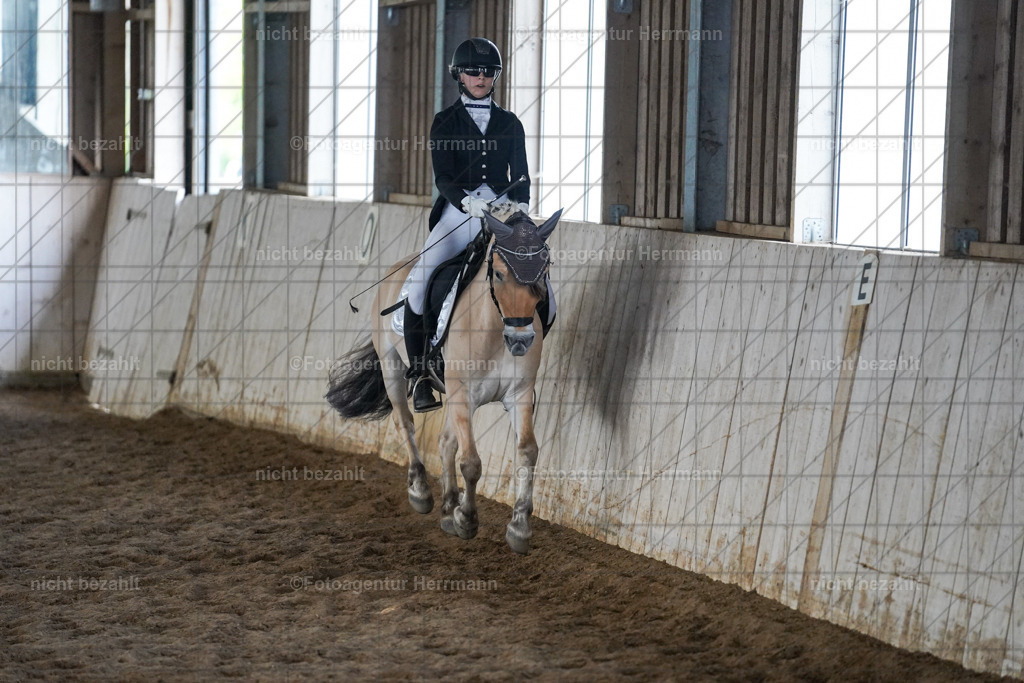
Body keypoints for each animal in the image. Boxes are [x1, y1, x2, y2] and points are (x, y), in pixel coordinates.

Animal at [326, 205, 561, 554]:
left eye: (543, 271)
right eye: (500, 274)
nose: (521, 340)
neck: (493, 328)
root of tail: (400, 265)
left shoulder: (518, 395)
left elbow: (527, 450)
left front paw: (518, 527)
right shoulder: (463, 395)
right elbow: (472, 462)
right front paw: (467, 519)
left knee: (445, 440)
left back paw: (448, 506)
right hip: (392, 367)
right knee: (406, 423)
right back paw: (421, 492)